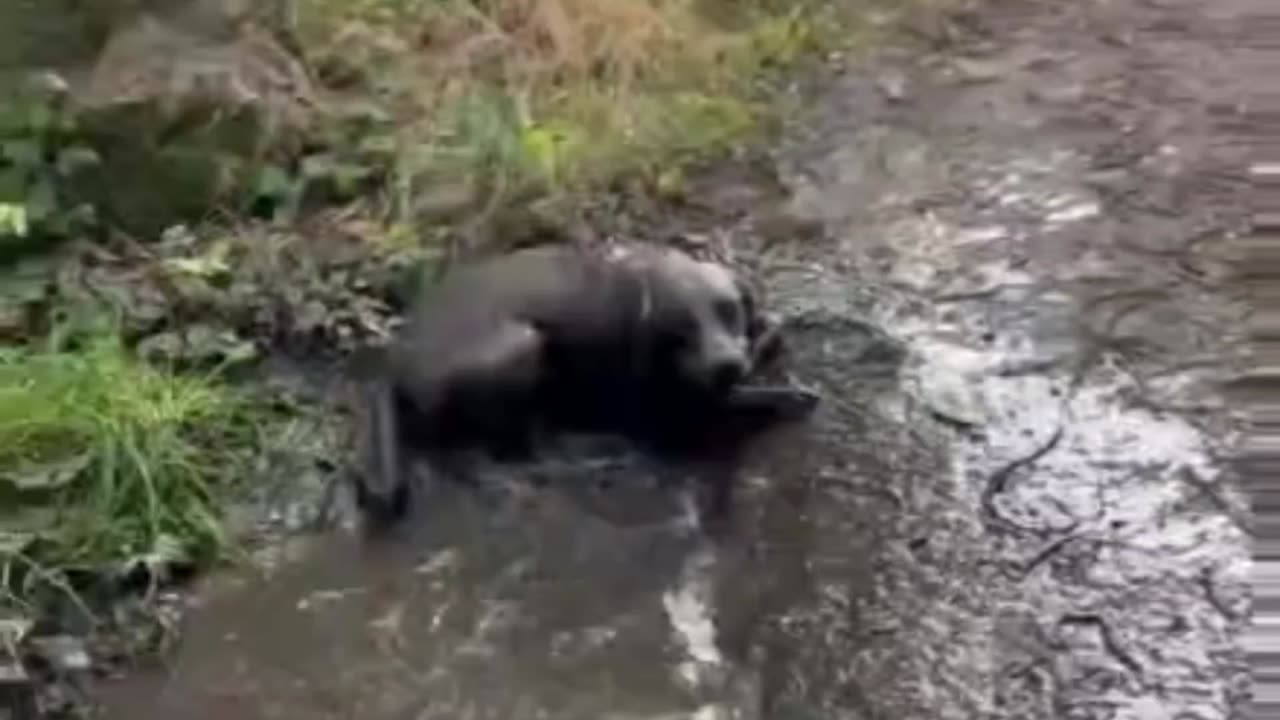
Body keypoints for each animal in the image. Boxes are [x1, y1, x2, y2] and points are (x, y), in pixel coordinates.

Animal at [345, 240, 814, 527]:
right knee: (513, 453)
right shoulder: (663, 411)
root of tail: (395, 361)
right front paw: (789, 392)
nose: (726, 365)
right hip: (523, 346)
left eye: (728, 310)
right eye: (680, 331)